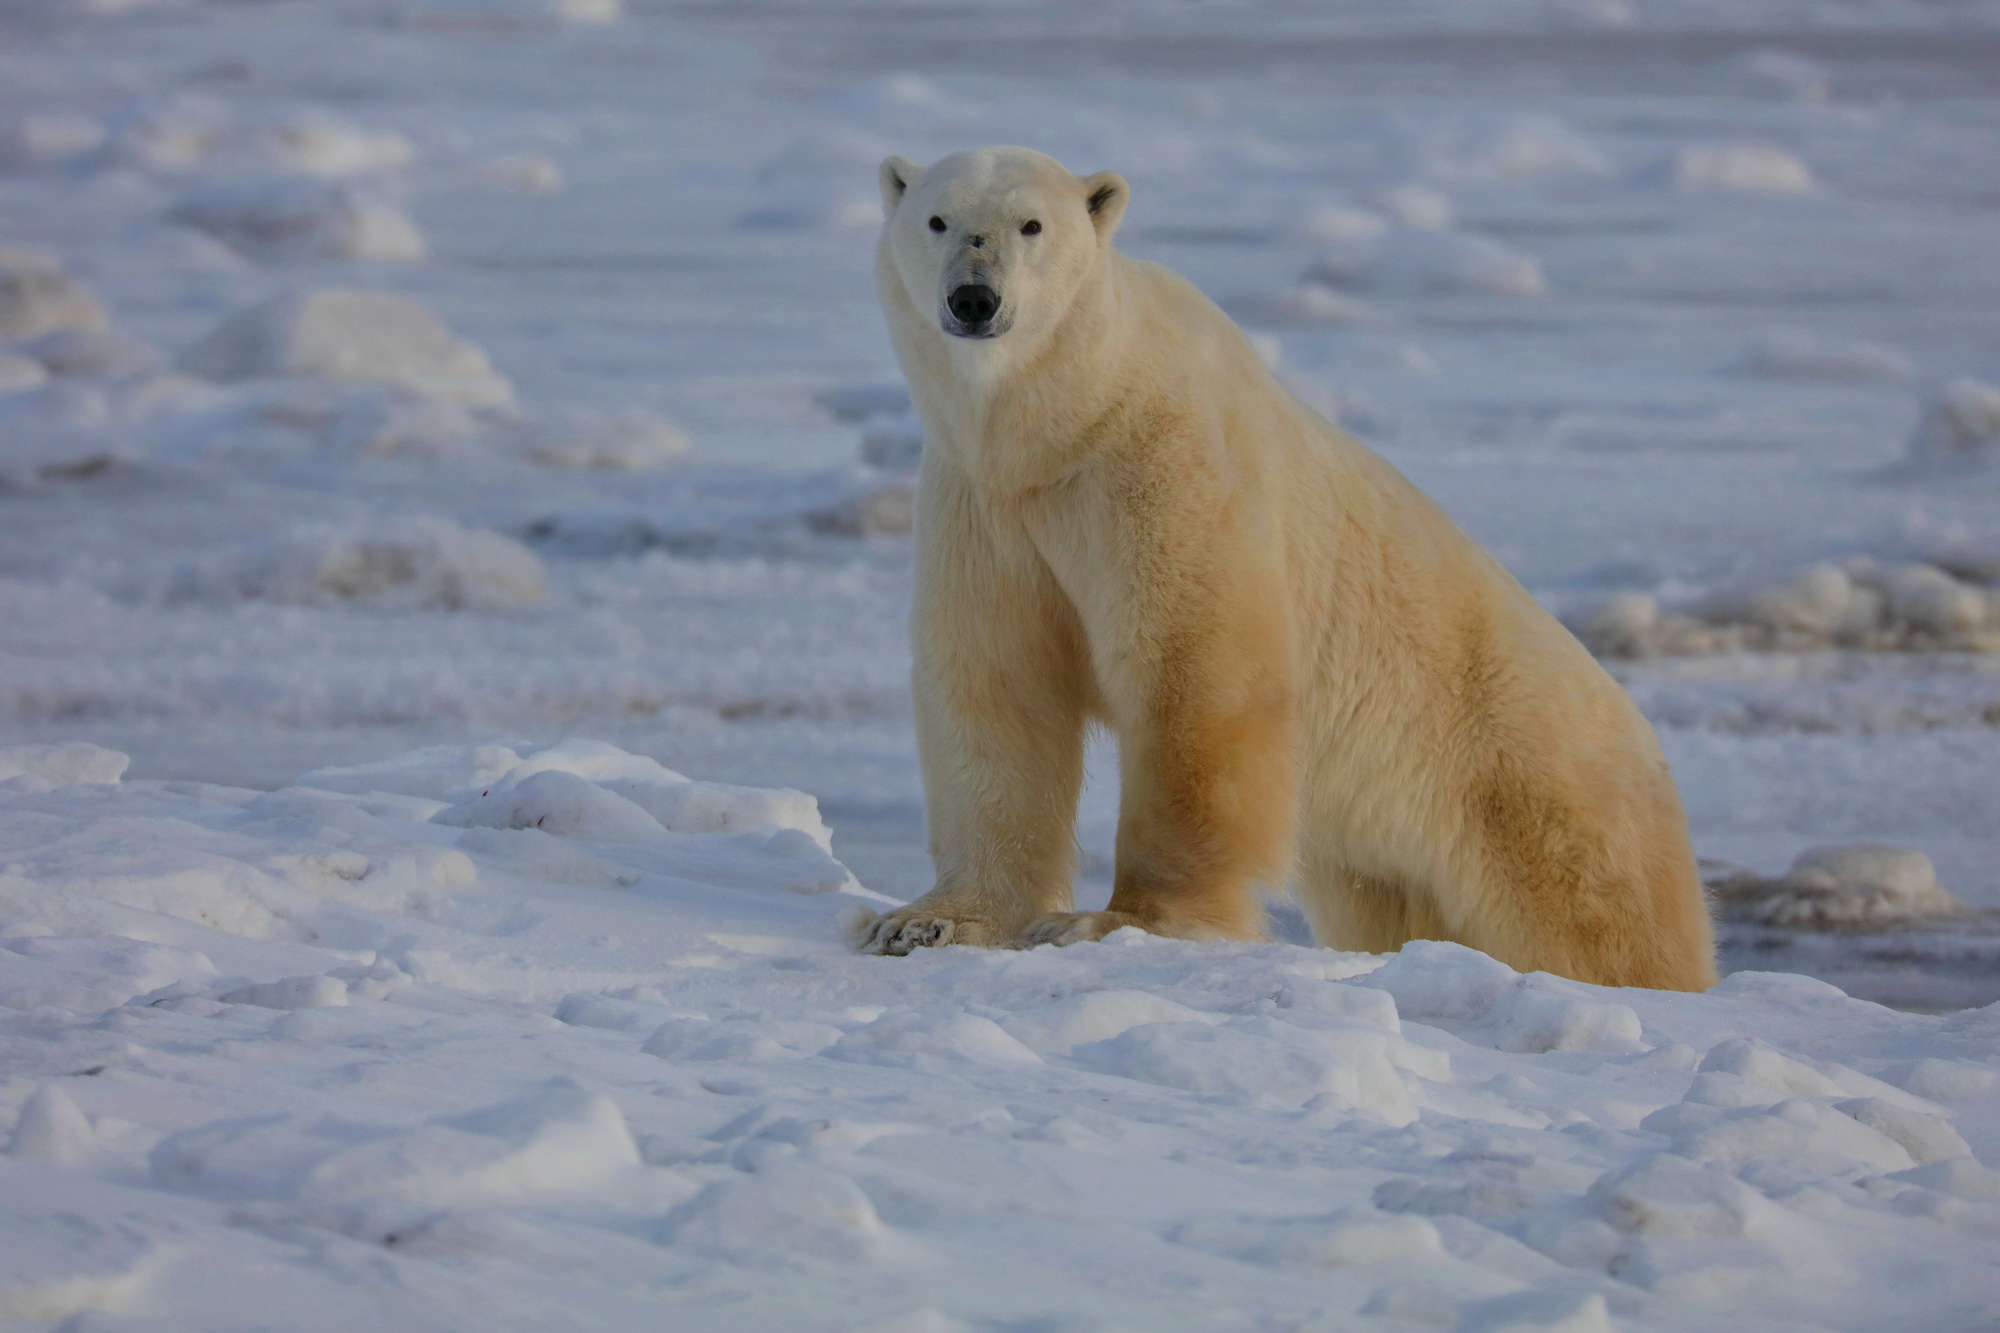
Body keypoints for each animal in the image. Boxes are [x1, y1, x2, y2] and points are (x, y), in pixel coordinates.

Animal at [860, 145, 1720, 984]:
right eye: (937, 219)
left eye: (1031, 224)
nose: (974, 299)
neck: (1070, 417)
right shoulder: (987, 504)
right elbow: (998, 683)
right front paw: (927, 920)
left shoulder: (1168, 467)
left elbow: (1193, 675)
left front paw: (1114, 921)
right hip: (1386, 857)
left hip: (1538, 797)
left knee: (1603, 931)